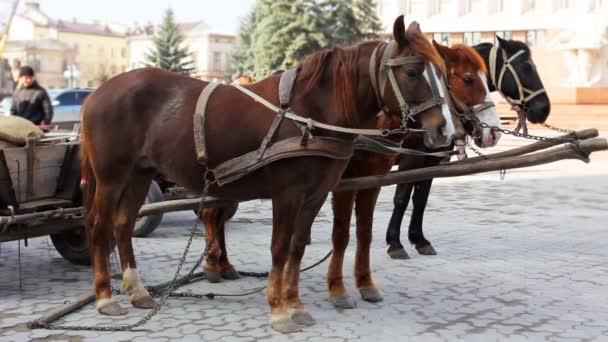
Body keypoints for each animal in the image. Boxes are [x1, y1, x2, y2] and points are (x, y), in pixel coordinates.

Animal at [81, 16, 452, 334]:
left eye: (443, 72)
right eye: (413, 72)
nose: (444, 129)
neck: (309, 114)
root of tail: (96, 93)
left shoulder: (316, 195)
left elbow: (298, 247)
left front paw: (295, 304)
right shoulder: (287, 195)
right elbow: (280, 248)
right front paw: (278, 310)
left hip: (139, 173)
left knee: (123, 224)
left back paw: (137, 290)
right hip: (112, 176)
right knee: (100, 225)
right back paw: (105, 297)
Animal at [388, 36, 552, 258]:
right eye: (525, 67)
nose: (544, 109)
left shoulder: (433, 159)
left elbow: (420, 198)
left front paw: (419, 239)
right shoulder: (411, 158)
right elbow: (401, 198)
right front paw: (394, 242)